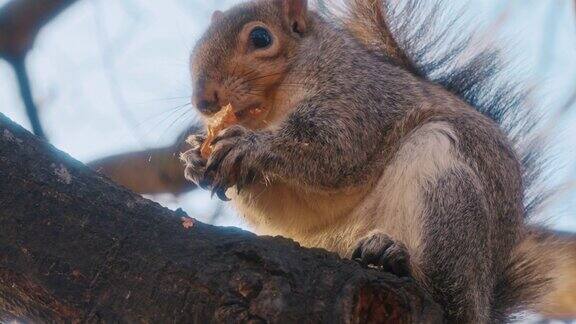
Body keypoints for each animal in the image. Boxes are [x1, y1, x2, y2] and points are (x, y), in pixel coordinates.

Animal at [180, 1, 568, 322]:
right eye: (197, 46)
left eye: (261, 37)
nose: (203, 100)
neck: (273, 106)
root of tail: (485, 299)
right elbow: (280, 211)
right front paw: (196, 157)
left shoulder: (358, 97)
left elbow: (334, 146)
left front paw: (249, 146)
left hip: (448, 199)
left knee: (447, 293)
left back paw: (397, 259)